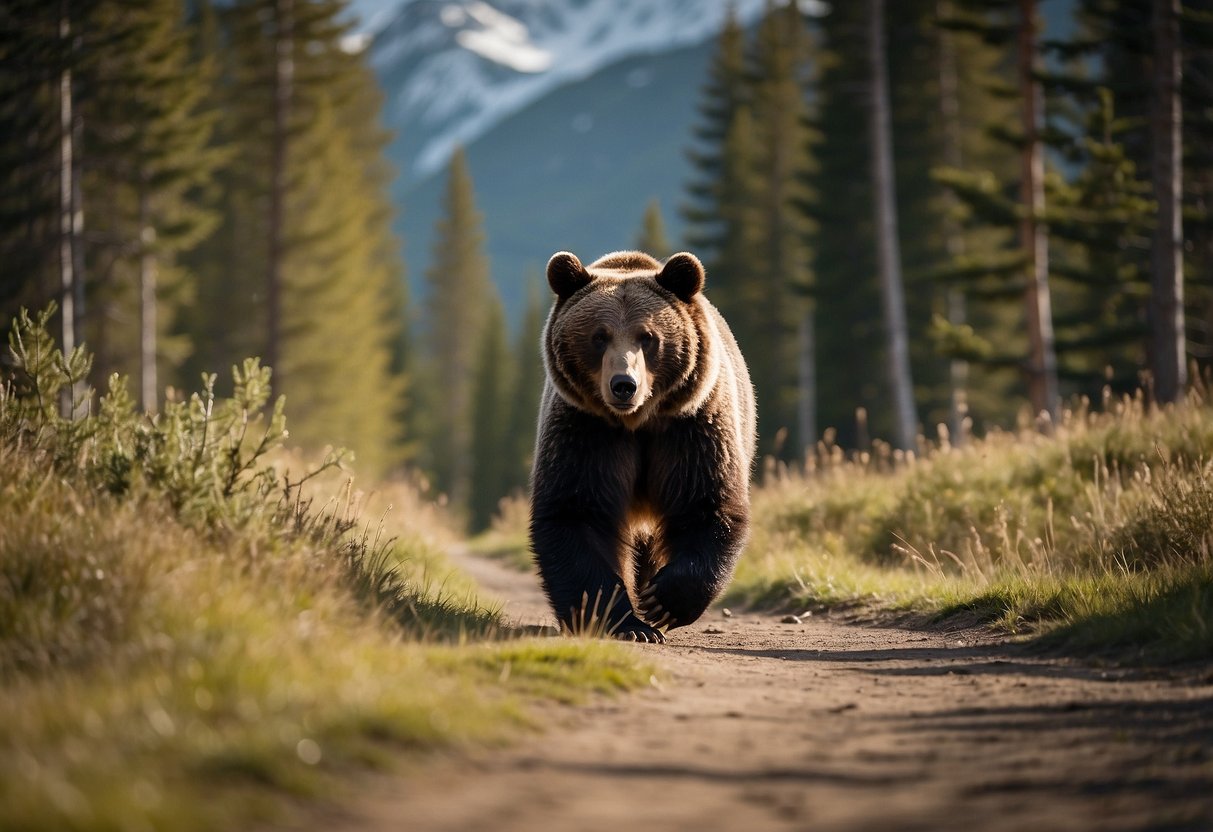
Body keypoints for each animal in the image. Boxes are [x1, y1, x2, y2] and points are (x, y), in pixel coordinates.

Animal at [533, 247, 756, 645]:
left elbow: (708, 506)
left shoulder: (691, 427)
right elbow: (576, 512)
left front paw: (662, 601)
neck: (637, 423)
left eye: (647, 336)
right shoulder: (586, 431)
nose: (624, 384)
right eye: (599, 336)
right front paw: (628, 624)